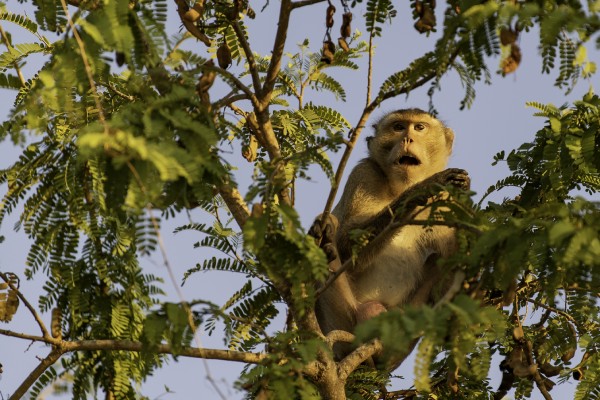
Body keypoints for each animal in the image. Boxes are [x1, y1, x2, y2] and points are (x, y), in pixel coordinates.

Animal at [310, 108, 470, 360]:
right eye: (398, 127)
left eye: (419, 128)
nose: (408, 139)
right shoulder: (364, 173)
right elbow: (347, 245)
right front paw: (422, 188)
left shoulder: (450, 201)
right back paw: (324, 240)